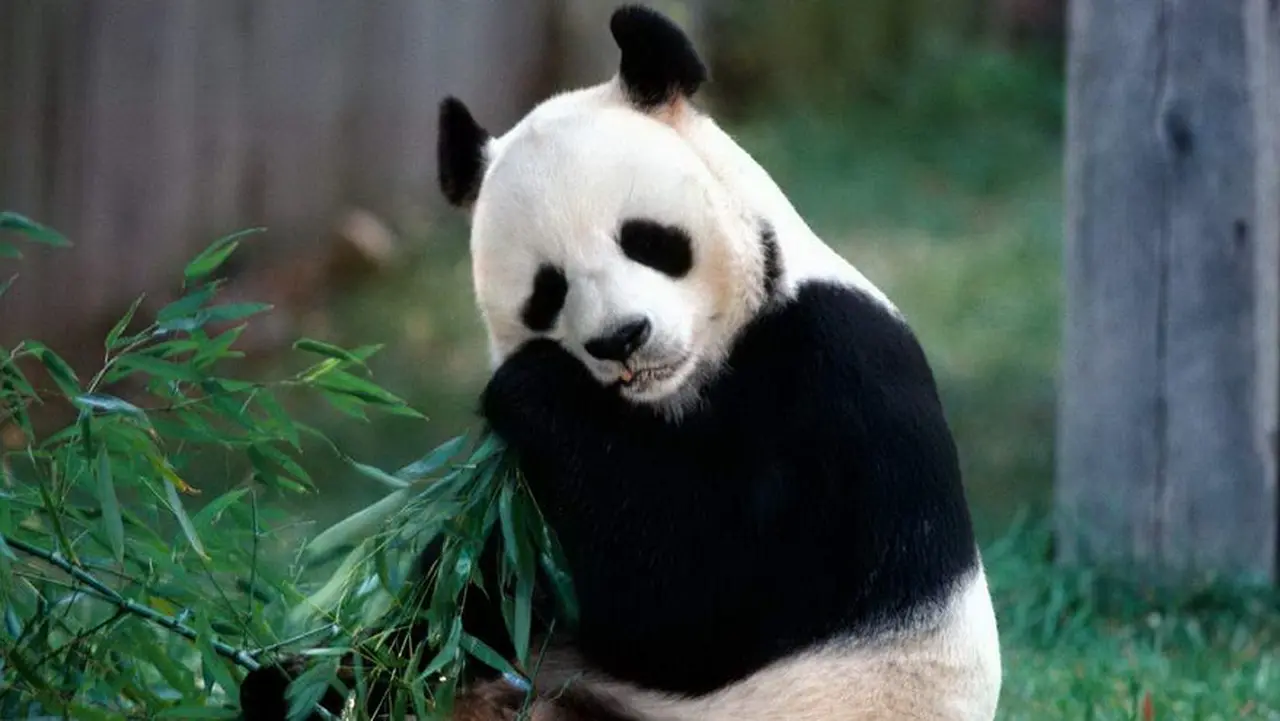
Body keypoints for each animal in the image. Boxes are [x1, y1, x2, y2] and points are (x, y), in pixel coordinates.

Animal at [239, 5, 1002, 720]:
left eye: (648, 240)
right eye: (547, 290)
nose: (622, 338)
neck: (682, 388)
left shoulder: (837, 382)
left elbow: (701, 598)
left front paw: (530, 384)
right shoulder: (531, 502)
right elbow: (482, 589)